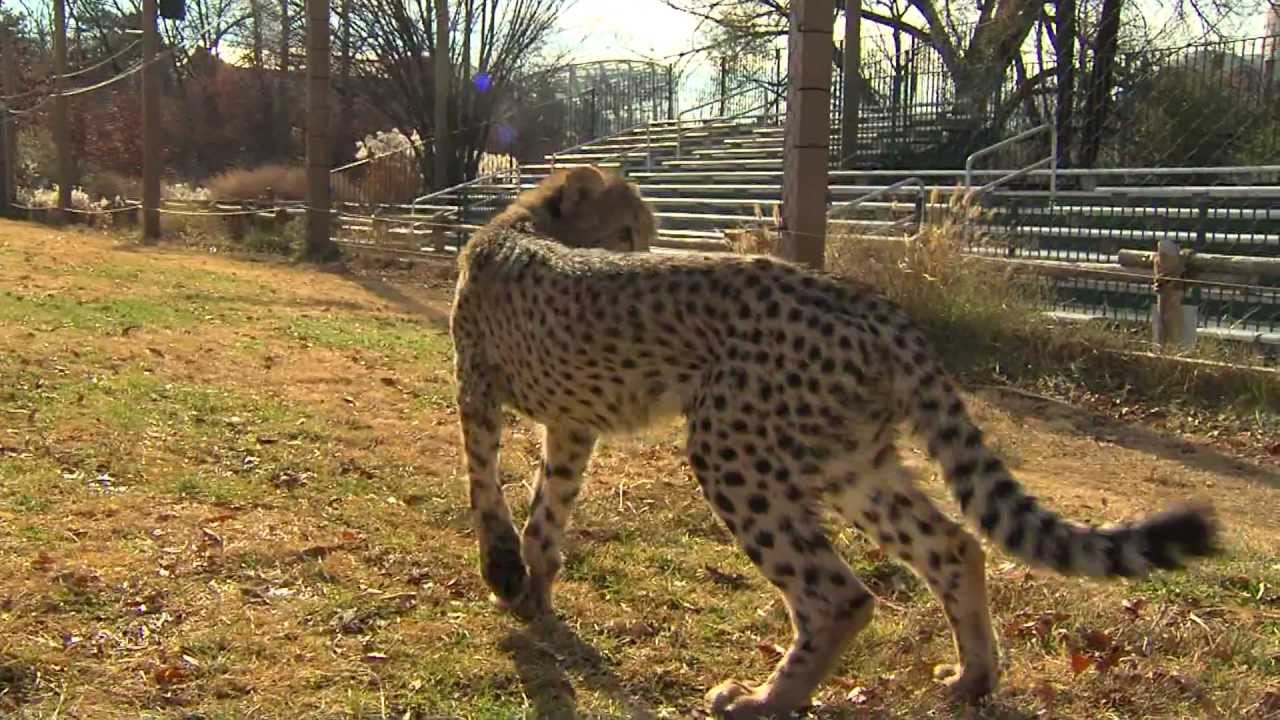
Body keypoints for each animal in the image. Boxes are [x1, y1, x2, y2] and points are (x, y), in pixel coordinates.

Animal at [449, 165, 1220, 719]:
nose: (648, 249)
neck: (522, 224)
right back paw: (971, 677)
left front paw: (502, 572)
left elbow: (485, 488)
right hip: (852, 460)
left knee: (839, 594)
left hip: (734, 449)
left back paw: (765, 700)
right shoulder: (571, 426)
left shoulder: (479, 392)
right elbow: (547, 513)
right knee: (953, 545)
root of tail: (872, 302)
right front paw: (532, 591)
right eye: (626, 229)